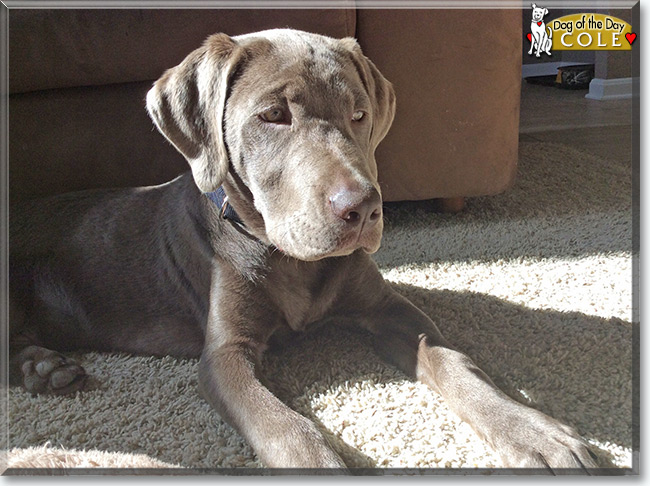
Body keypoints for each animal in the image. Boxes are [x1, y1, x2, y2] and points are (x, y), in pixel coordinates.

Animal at [11, 30, 596, 470]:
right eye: (273, 116)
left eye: (360, 115)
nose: (363, 208)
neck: (289, 259)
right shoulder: (225, 355)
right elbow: (285, 428)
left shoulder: (388, 307)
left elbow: (456, 361)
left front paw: (533, 432)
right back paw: (42, 369)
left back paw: (43, 369)